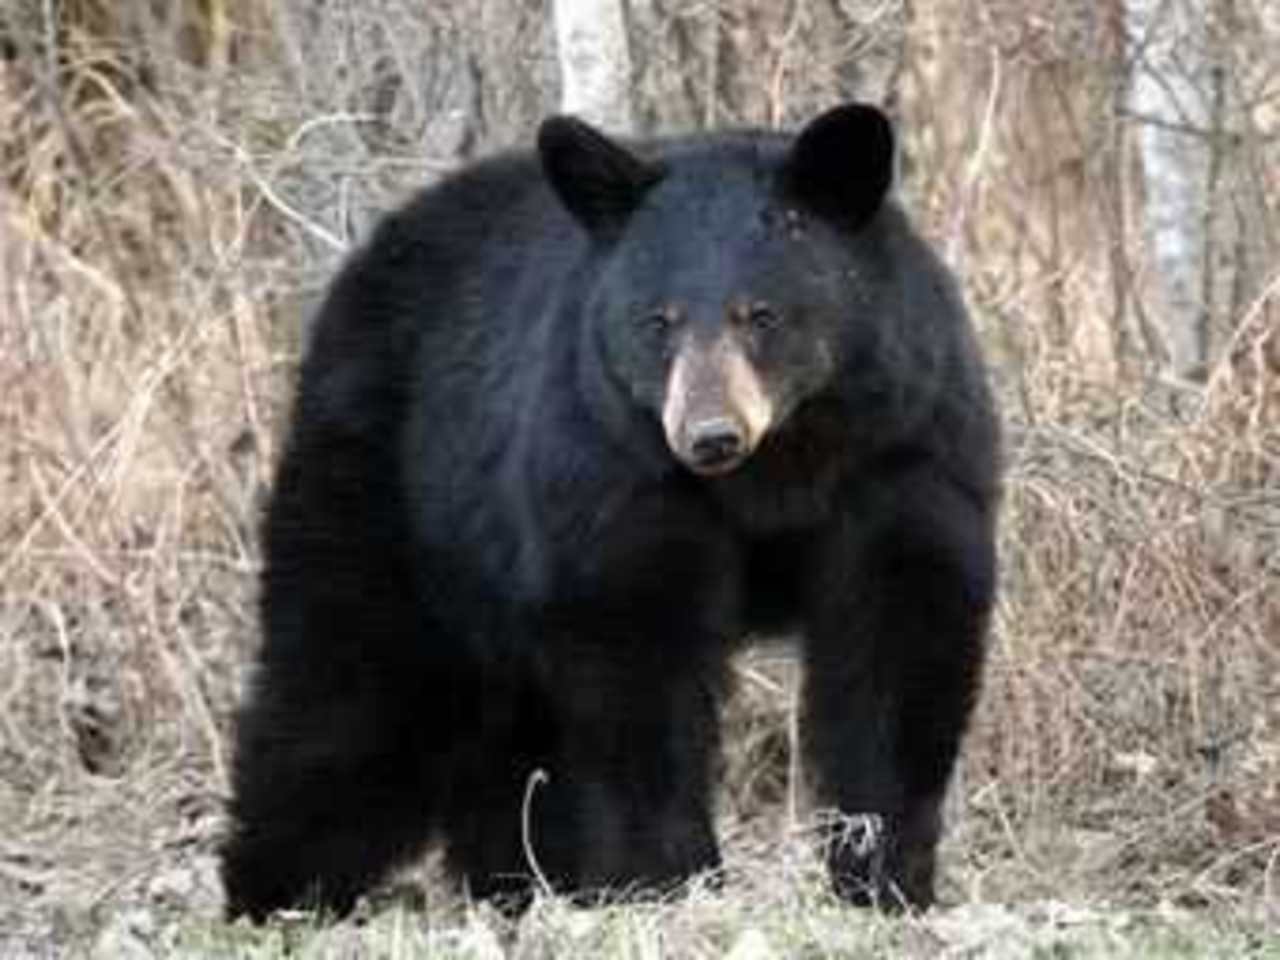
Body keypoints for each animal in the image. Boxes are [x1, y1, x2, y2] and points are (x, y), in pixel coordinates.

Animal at [221, 102, 1000, 921]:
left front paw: (886, 876)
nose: (710, 436)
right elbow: (638, 661)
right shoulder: (614, 471)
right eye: (659, 322)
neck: (780, 466)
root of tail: (372, 253)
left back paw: (524, 882)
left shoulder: (902, 450)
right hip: (395, 489)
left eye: (760, 315)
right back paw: (280, 891)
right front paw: (672, 878)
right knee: (345, 684)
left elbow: (898, 641)